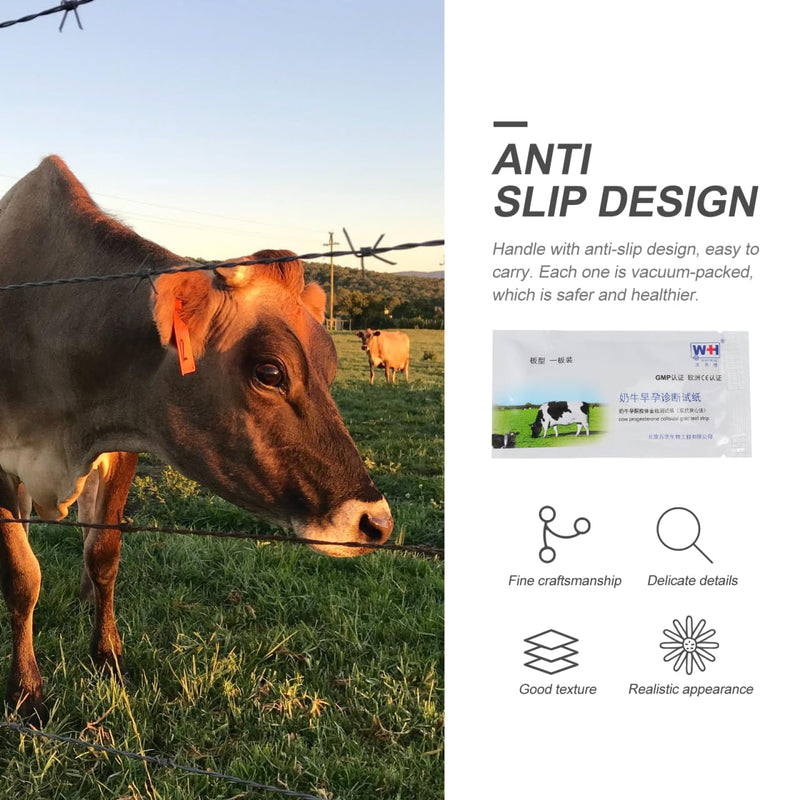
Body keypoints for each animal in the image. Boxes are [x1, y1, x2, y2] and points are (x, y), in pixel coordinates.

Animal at [0, 156, 394, 721]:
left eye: (333, 366)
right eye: (270, 371)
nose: (376, 522)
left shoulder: (122, 446)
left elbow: (105, 552)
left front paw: (107, 656)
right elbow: (22, 576)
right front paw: (27, 691)